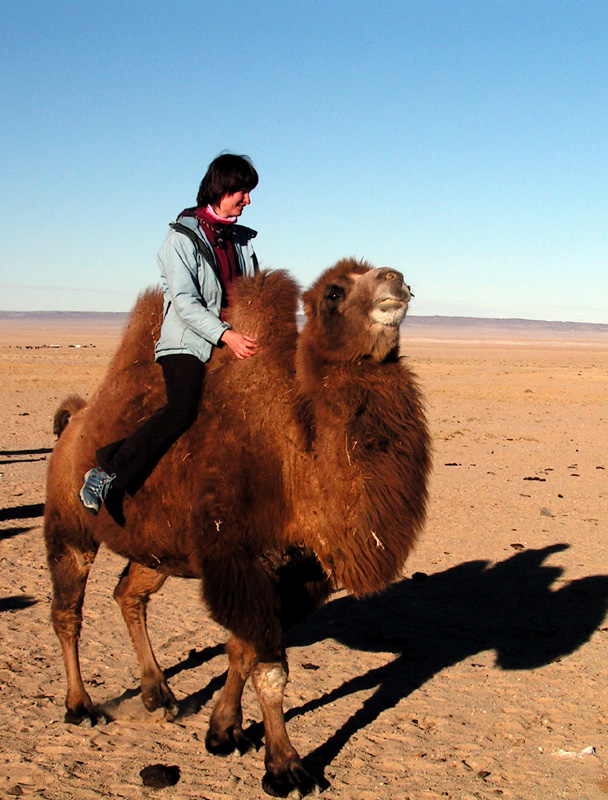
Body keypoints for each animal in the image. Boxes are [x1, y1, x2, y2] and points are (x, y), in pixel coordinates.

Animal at [44, 260, 432, 796]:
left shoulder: (294, 573)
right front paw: (285, 767)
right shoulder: (240, 559)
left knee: (128, 595)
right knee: (68, 611)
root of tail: (74, 422)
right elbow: (269, 669)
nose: (395, 278)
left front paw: (223, 731)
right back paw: (80, 706)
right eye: (334, 293)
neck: (295, 459)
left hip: (159, 549)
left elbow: (242, 651)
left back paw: (159, 694)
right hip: (69, 522)